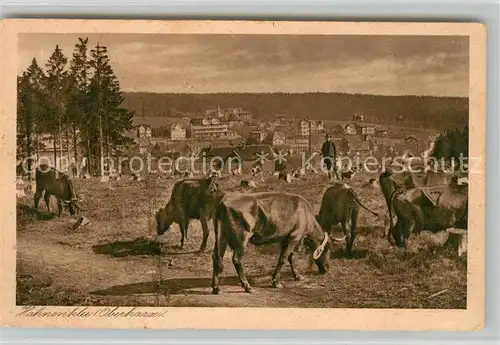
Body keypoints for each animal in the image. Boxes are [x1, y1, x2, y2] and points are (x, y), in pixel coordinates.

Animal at [209, 191, 346, 292]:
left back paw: (216, 288)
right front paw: (276, 282)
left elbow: (291, 257)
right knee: (237, 260)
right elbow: (283, 258)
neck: (306, 214)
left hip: (221, 237)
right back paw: (247, 287)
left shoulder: (285, 238)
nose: (327, 269)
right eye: (328, 251)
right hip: (240, 239)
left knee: (216, 256)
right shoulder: (294, 237)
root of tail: (223, 201)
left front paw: (297, 276)